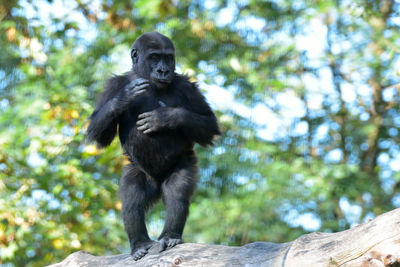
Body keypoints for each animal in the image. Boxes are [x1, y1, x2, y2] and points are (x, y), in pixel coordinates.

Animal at [86, 31, 220, 262]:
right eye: (155, 57)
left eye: (167, 58)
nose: (163, 70)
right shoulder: (113, 85)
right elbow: (97, 131)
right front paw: (124, 97)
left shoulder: (187, 86)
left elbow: (208, 122)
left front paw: (166, 117)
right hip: (138, 171)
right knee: (132, 198)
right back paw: (139, 243)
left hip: (183, 163)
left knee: (176, 191)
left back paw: (171, 236)